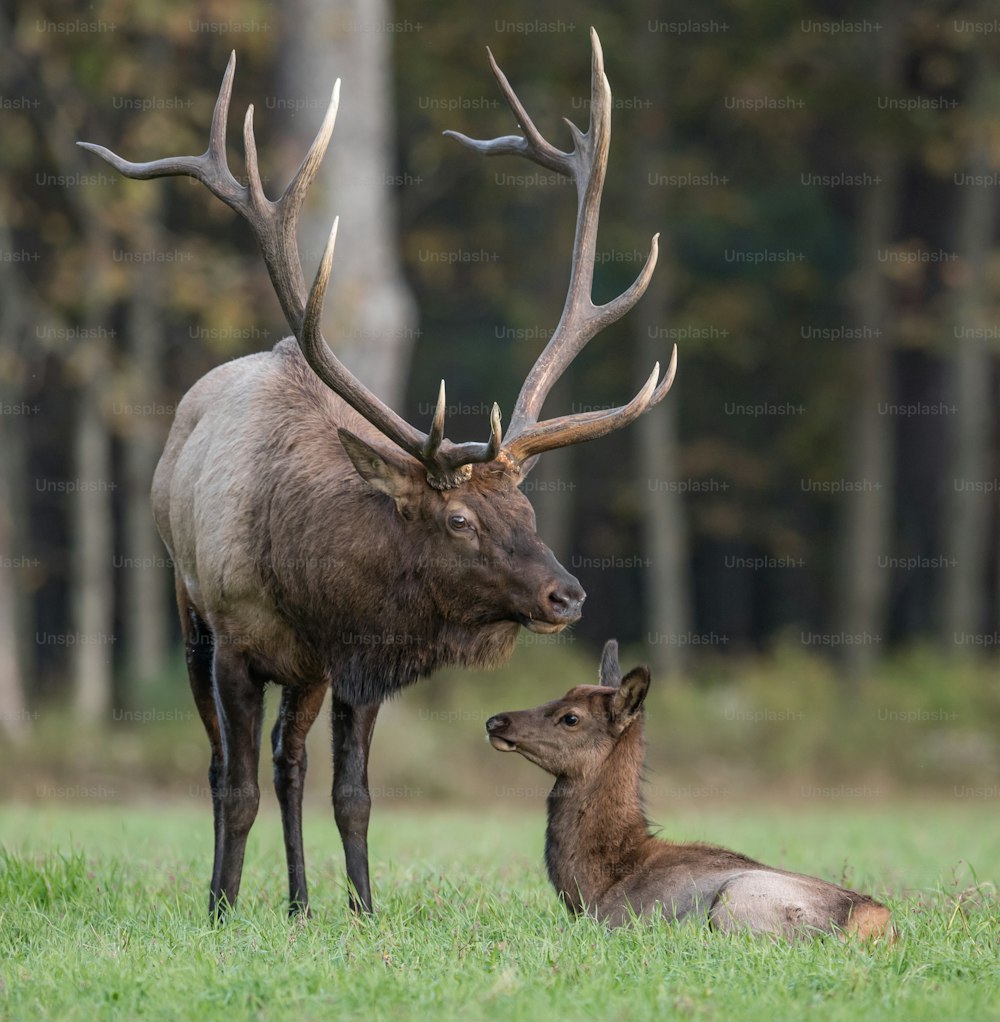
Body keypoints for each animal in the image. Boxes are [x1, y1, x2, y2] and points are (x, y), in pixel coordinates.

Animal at [77, 27, 670, 915]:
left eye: (528, 514)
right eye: (459, 520)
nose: (567, 595)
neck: (302, 573)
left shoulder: (350, 660)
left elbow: (351, 794)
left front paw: (361, 909)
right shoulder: (233, 641)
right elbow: (233, 787)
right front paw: (220, 910)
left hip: (305, 674)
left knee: (289, 760)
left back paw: (298, 902)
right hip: (188, 610)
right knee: (228, 766)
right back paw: (240, 895)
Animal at [482, 641, 887, 936]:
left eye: (571, 717)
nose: (496, 720)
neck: (593, 886)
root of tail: (876, 924)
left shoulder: (612, 922)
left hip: (736, 903)